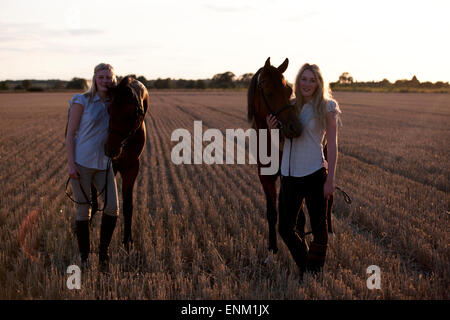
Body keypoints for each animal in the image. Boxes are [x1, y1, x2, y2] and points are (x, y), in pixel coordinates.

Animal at [91, 75, 149, 250]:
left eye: (130, 114)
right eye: (108, 110)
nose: (110, 149)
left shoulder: (132, 167)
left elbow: (128, 205)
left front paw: (128, 241)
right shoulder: (112, 167)